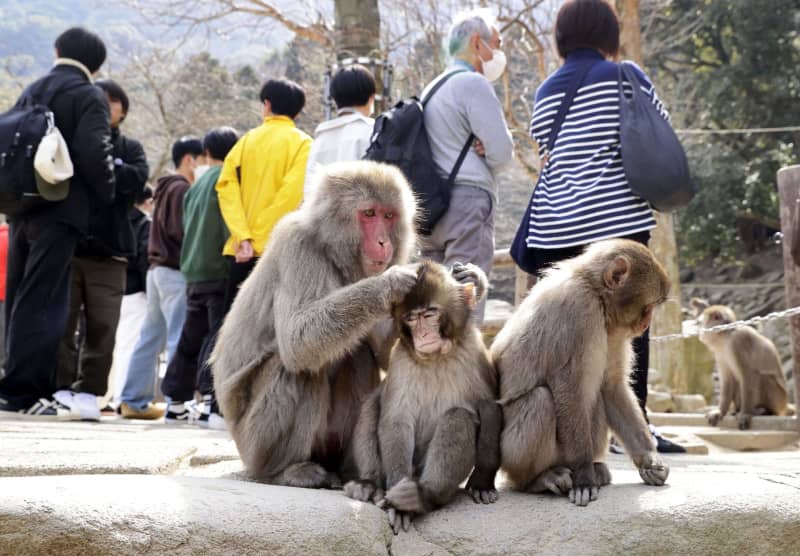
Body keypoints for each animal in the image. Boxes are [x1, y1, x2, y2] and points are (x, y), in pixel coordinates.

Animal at [211, 160, 418, 486]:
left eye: (389, 216)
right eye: (369, 214)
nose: (384, 241)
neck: (331, 252)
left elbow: (386, 355)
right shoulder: (297, 248)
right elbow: (297, 340)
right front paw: (389, 284)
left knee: (357, 355)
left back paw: (349, 469)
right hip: (253, 445)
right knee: (295, 370)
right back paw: (285, 470)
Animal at [344, 262, 500, 536]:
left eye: (429, 315)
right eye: (411, 318)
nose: (423, 335)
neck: (436, 357)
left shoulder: (476, 353)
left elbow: (488, 406)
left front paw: (482, 481)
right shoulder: (400, 360)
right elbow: (396, 419)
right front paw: (396, 504)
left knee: (458, 416)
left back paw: (423, 496)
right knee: (372, 403)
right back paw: (369, 484)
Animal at [494, 238, 668, 504]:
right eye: (647, 307)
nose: (646, 323)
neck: (595, 292)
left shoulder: (615, 330)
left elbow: (611, 386)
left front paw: (650, 459)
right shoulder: (577, 309)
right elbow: (567, 386)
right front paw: (584, 477)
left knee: (597, 398)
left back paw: (597, 467)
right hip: (511, 454)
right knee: (540, 400)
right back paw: (538, 479)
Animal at [692, 298, 792, 428]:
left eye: (701, 323)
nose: (701, 332)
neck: (726, 336)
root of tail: (784, 405)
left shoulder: (739, 341)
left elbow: (748, 375)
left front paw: (745, 414)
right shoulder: (719, 352)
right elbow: (728, 379)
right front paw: (720, 412)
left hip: (779, 399)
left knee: (761, 378)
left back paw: (764, 410)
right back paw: (737, 410)